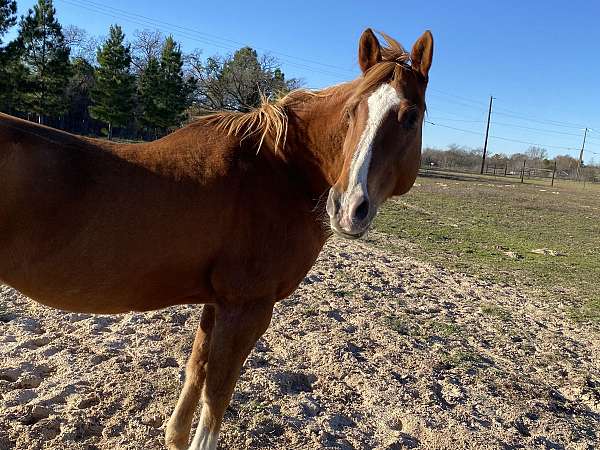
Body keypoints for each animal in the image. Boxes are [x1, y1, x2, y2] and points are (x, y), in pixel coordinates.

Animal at [0, 29, 432, 448]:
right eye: (351, 112)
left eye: (410, 117)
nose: (347, 207)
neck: (280, 170)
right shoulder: (246, 307)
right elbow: (216, 395)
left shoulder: (217, 302)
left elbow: (196, 372)